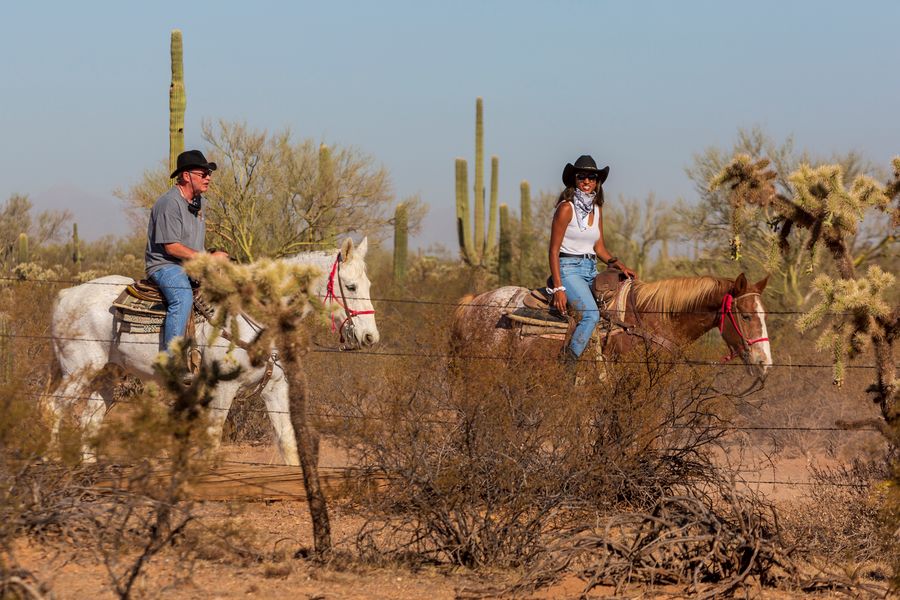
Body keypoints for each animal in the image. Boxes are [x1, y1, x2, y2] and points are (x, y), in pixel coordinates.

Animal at [47, 236, 378, 464]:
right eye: (350, 286)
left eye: (369, 285)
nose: (370, 337)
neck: (254, 316)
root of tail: (67, 294)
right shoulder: (223, 389)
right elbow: (213, 440)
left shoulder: (275, 387)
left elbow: (287, 442)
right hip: (78, 370)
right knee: (52, 408)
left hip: (107, 373)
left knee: (89, 419)